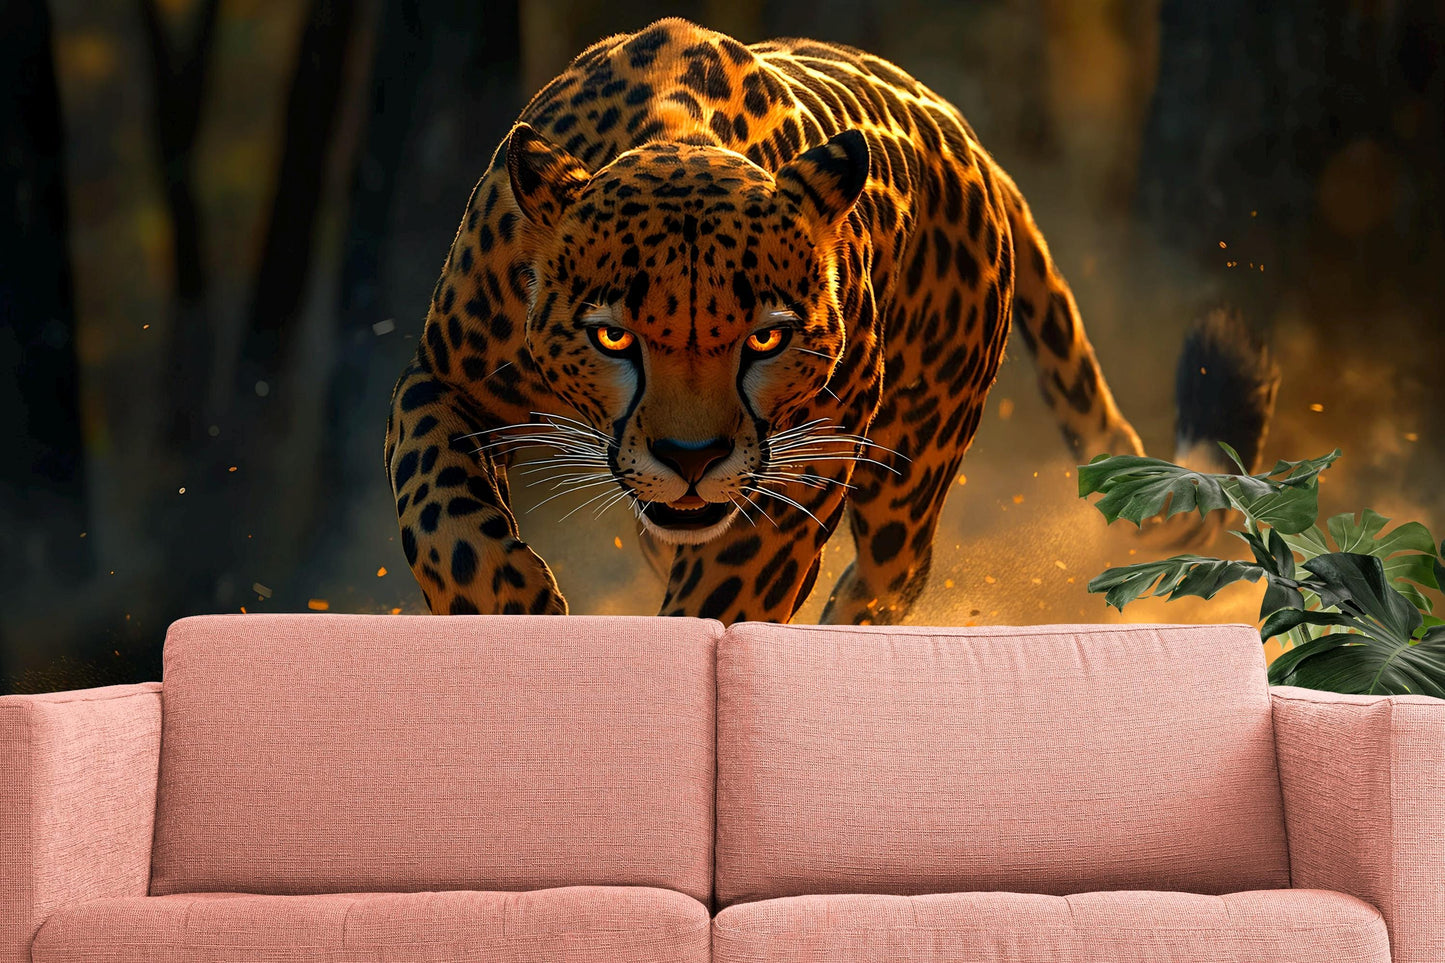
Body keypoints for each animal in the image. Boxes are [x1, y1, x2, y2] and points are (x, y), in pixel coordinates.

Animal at [384, 18, 1277, 625]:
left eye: (765, 340)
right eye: (613, 337)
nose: (690, 458)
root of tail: (968, 139)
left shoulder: (803, 455)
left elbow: (727, 594)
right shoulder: (440, 380)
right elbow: (439, 511)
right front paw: (508, 607)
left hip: (912, 461)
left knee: (888, 576)